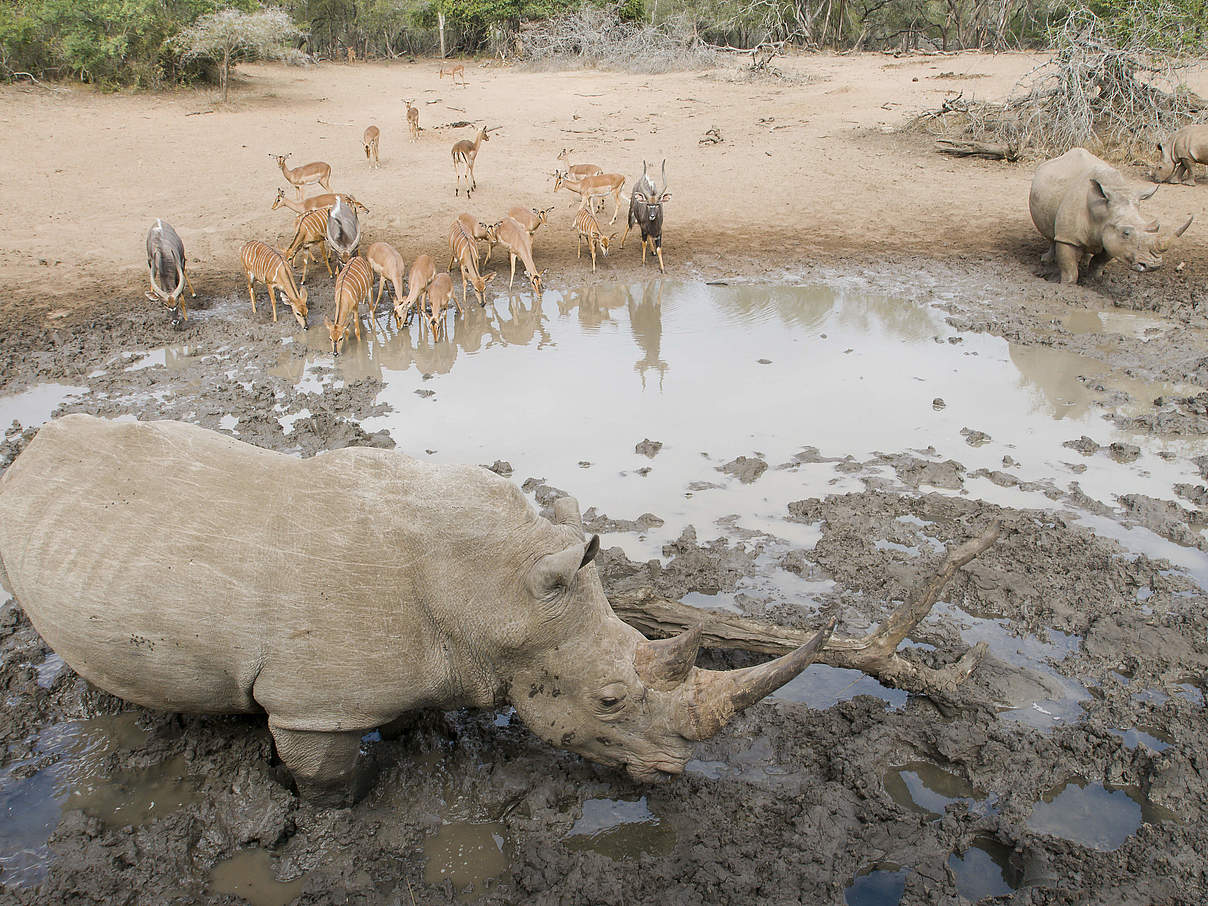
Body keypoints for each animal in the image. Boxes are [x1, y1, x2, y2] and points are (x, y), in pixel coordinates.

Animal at [0, 417, 831, 806]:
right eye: (609, 699)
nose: (670, 772)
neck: (493, 590)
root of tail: (34, 447)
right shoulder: (313, 705)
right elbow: (325, 775)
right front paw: (337, 815)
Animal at [1029, 147, 1188, 283]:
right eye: (1126, 233)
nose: (1153, 265)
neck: (1103, 212)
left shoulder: (1112, 238)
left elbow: (1099, 262)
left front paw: (1095, 280)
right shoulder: (1067, 238)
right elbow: (1069, 268)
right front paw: (1066, 284)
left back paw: (1084, 260)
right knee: (1051, 234)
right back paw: (1047, 260)